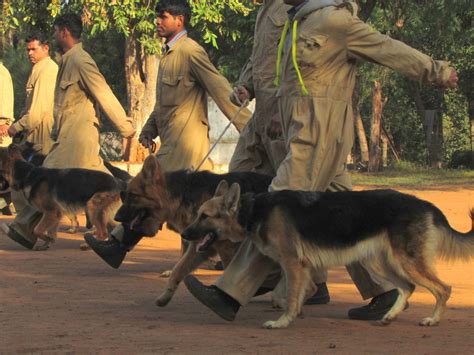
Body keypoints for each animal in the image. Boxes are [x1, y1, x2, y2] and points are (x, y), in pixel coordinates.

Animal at [0, 145, 128, 250]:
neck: (27, 174)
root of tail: (120, 182)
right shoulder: (55, 215)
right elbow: (50, 231)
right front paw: (46, 244)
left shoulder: (52, 212)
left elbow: (37, 230)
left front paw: (48, 240)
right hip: (105, 214)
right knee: (112, 229)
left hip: (93, 207)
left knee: (103, 233)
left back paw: (89, 245)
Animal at [107, 154, 270, 308]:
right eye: (124, 195)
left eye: (133, 195)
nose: (116, 217)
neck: (180, 197)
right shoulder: (200, 246)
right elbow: (178, 269)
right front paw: (165, 296)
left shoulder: (226, 246)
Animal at [182, 182, 474, 330]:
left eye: (204, 216)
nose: (184, 233)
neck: (254, 209)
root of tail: (425, 204)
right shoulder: (300, 267)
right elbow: (299, 293)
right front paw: (295, 314)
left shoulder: (292, 263)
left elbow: (291, 296)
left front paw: (283, 321)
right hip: (381, 263)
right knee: (407, 288)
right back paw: (389, 316)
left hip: (406, 262)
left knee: (443, 289)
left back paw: (433, 320)